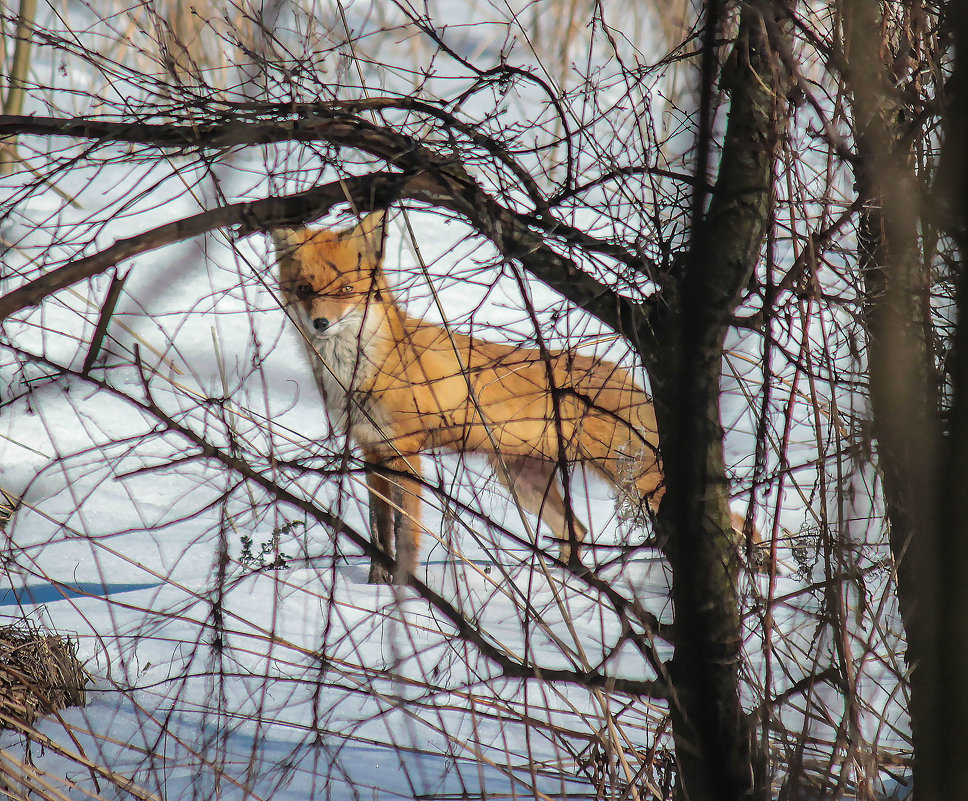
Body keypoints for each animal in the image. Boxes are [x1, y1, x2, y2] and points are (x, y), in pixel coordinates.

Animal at [272, 212, 664, 580]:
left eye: (347, 288)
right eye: (305, 289)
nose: (320, 324)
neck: (358, 372)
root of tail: (628, 375)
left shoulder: (405, 452)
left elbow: (405, 530)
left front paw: (404, 588)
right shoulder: (371, 450)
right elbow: (379, 528)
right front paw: (376, 583)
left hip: (634, 481)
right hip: (522, 483)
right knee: (577, 532)